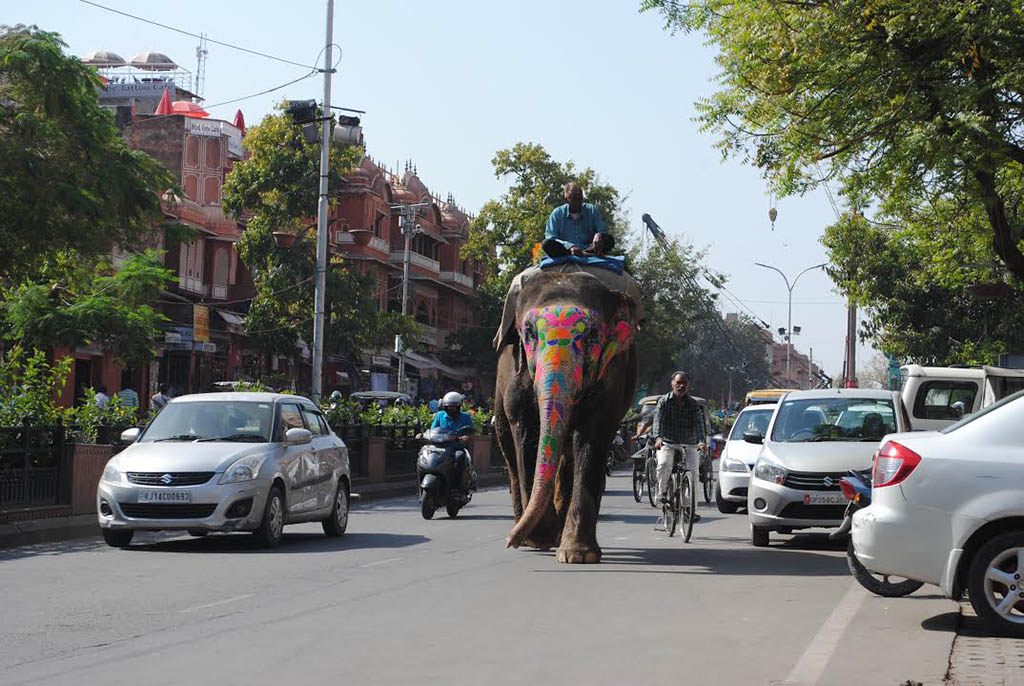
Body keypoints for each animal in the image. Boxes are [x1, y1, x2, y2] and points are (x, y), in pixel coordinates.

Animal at [491, 268, 634, 565]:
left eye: (592, 335)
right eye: (529, 332)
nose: (509, 541)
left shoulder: (614, 372)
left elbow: (593, 435)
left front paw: (577, 555)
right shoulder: (516, 375)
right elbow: (526, 430)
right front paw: (538, 538)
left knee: (569, 459)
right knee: (509, 447)